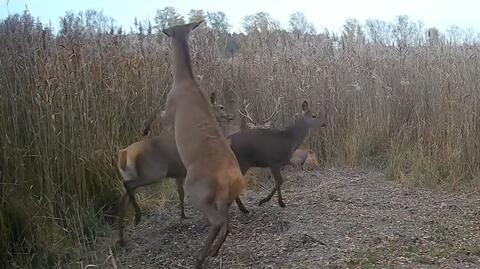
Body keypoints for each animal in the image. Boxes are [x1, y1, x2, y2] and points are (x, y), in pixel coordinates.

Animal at [115, 91, 233, 245]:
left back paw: (122, 237)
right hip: (153, 171)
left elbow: (181, 193)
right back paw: (137, 217)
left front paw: (183, 216)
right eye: (221, 106)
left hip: (136, 174)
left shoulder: (179, 173)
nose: (231, 116)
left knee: (123, 199)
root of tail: (124, 154)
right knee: (128, 186)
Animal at [161, 21, 246, 268]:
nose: (163, 30)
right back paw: (213, 252)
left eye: (170, 30)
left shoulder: (169, 110)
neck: (185, 80)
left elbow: (156, 115)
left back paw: (200, 257)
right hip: (224, 197)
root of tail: (230, 177)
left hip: (197, 190)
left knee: (217, 222)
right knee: (226, 223)